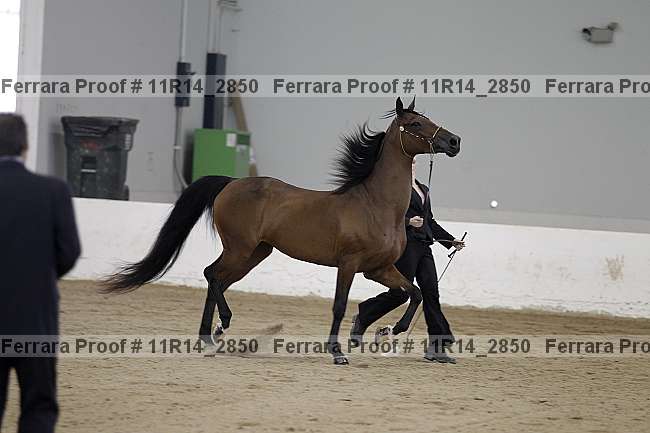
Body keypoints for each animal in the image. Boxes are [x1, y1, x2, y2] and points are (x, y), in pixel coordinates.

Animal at [101, 97, 461, 365]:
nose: (454, 141)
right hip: (239, 249)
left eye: (427, 118)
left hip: (255, 253)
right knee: (211, 275)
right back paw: (219, 328)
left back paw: (212, 336)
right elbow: (340, 305)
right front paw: (338, 352)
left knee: (218, 281)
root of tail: (230, 183)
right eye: (415, 124)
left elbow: (412, 293)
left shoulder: (378, 268)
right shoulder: (349, 265)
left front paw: (383, 331)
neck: (375, 204)